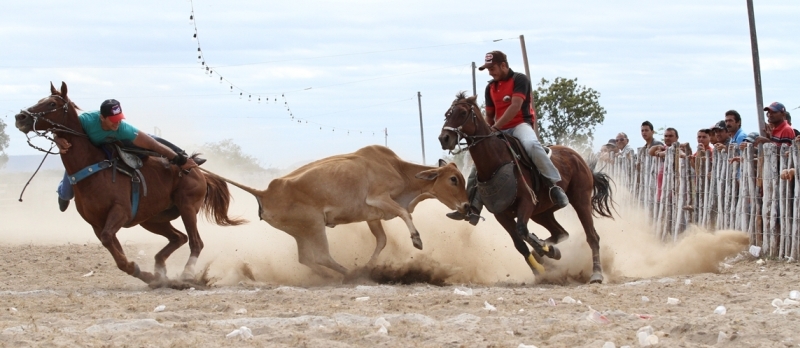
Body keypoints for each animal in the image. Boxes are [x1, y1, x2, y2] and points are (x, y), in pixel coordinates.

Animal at [12, 83, 244, 286]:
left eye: (52, 104)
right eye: (40, 100)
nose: (20, 117)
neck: (93, 168)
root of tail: (198, 170)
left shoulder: (120, 212)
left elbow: (110, 242)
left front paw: (146, 274)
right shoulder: (97, 224)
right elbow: (114, 250)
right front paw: (147, 276)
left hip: (187, 207)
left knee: (196, 242)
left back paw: (186, 275)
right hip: (152, 219)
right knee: (179, 237)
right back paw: (160, 269)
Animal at [200, 145, 472, 276]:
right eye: (453, 179)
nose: (468, 206)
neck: (399, 170)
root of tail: (266, 191)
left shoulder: (373, 217)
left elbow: (382, 241)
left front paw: (370, 265)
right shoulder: (379, 198)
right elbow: (406, 214)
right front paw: (416, 239)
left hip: (302, 232)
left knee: (306, 259)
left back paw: (331, 276)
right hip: (314, 225)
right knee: (321, 256)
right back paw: (349, 274)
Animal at [438, 92, 612, 282]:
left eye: (462, 112)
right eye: (447, 114)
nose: (444, 138)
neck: (496, 161)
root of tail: (579, 158)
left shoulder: (526, 202)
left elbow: (522, 230)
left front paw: (545, 251)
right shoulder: (501, 214)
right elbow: (520, 244)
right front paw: (539, 269)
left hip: (580, 200)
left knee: (592, 236)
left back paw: (596, 273)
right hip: (542, 213)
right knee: (561, 233)